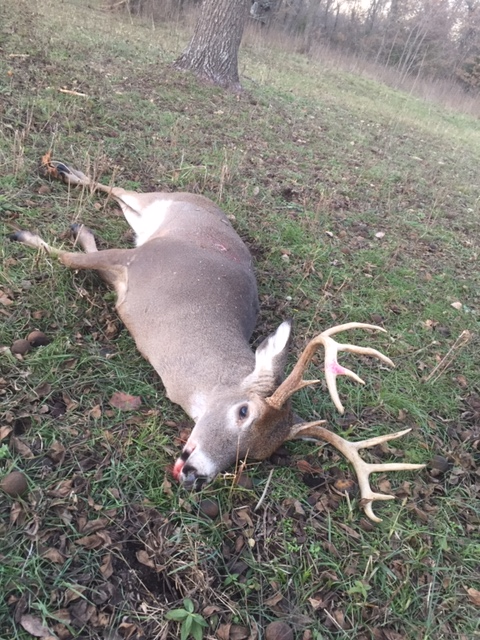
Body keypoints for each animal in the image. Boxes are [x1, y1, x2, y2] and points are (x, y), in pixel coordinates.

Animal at [11, 156, 425, 522]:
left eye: (256, 456)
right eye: (243, 411)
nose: (196, 475)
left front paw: (74, 232)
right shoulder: (141, 259)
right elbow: (68, 260)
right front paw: (27, 235)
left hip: (144, 217)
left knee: (121, 196)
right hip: (157, 205)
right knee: (121, 188)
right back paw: (62, 172)